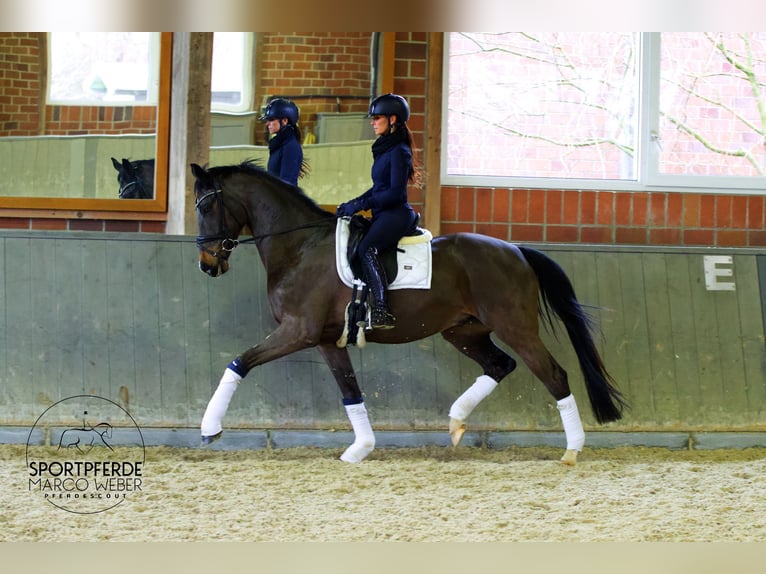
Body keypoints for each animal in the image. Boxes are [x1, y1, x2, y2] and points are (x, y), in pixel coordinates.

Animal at [191, 160, 627, 465]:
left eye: (207, 206)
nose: (207, 264)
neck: (300, 246)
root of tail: (516, 251)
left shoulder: (299, 331)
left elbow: (239, 362)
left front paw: (210, 428)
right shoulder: (327, 339)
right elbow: (350, 392)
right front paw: (361, 449)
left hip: (516, 328)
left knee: (554, 375)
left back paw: (571, 451)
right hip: (464, 331)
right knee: (500, 365)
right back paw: (455, 422)